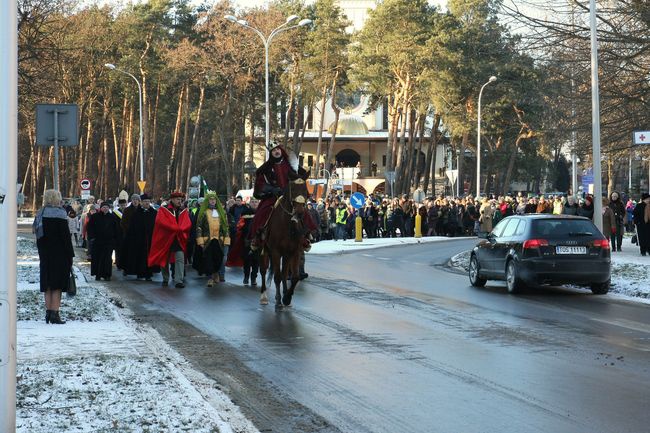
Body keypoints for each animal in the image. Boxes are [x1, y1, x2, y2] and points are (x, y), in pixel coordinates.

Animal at [258, 170, 308, 308]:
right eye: (294, 189)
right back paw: (264, 296)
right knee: (263, 270)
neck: (287, 225)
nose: (299, 213)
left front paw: (287, 298)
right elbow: (277, 276)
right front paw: (279, 300)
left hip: (286, 255)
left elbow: (294, 277)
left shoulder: (295, 252)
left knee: (285, 273)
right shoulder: (275, 252)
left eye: (306, 190)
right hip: (264, 250)